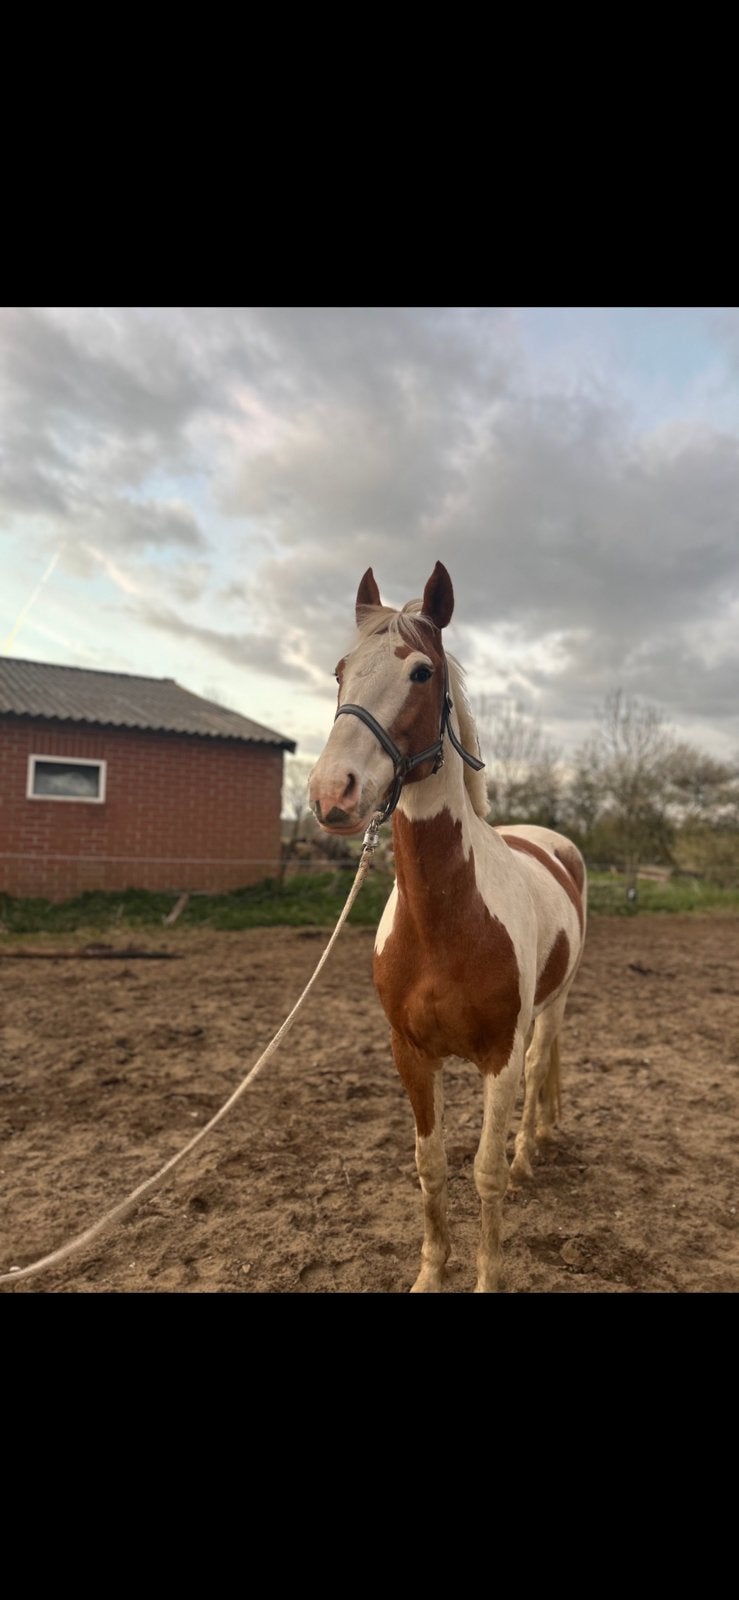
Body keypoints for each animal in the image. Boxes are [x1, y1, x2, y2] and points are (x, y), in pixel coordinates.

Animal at [309, 561, 587, 1292]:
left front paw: (488, 1273)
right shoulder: (410, 1054)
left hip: (553, 1004)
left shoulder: (497, 1059)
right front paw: (431, 1272)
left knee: (541, 1067)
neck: (444, 922)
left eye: (421, 672)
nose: (332, 793)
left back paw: (530, 1151)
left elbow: (484, 1175)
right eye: (340, 671)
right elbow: (429, 1167)